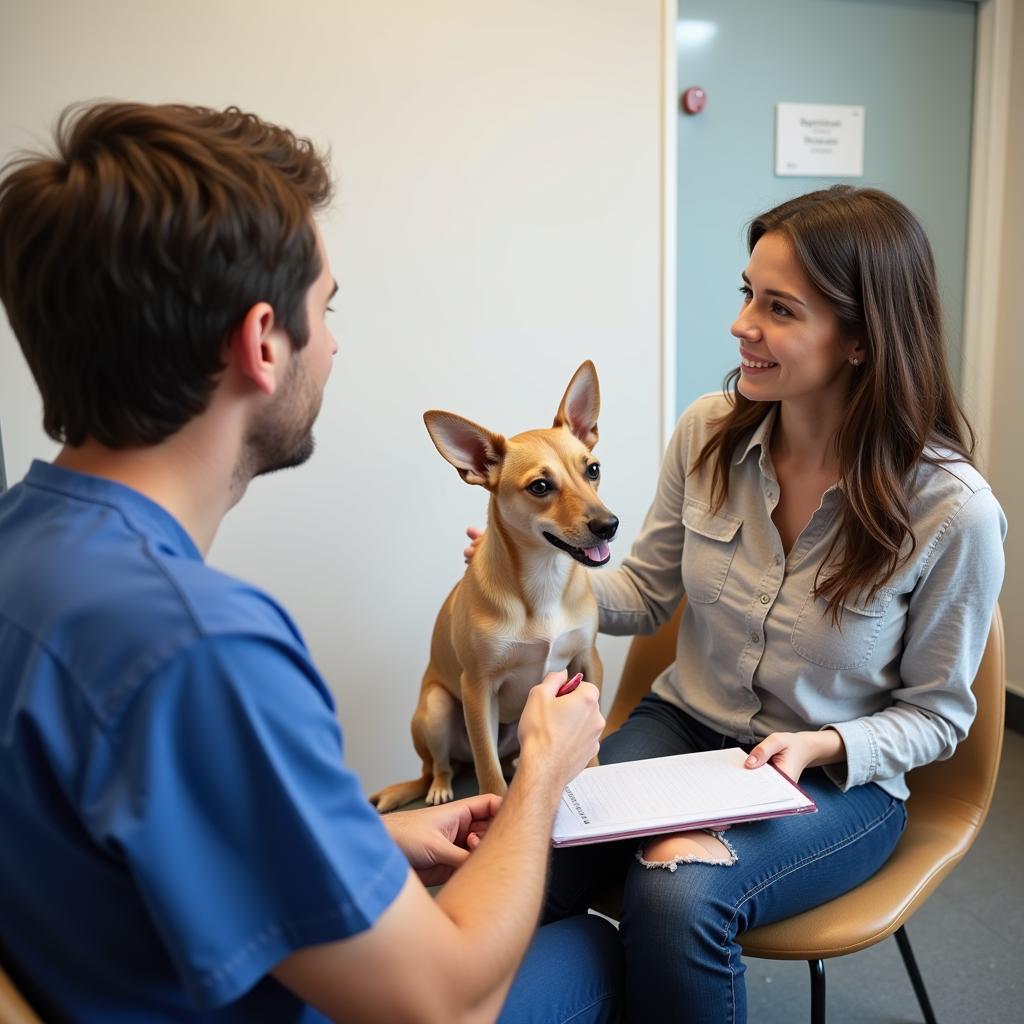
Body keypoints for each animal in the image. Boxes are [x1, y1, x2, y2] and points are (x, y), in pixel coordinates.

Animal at [372, 364, 618, 811]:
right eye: (540, 486)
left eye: (592, 469)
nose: (608, 524)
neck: (544, 578)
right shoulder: (477, 686)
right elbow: (488, 772)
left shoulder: (587, 661)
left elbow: (589, 747)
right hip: (437, 710)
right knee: (445, 765)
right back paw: (440, 787)